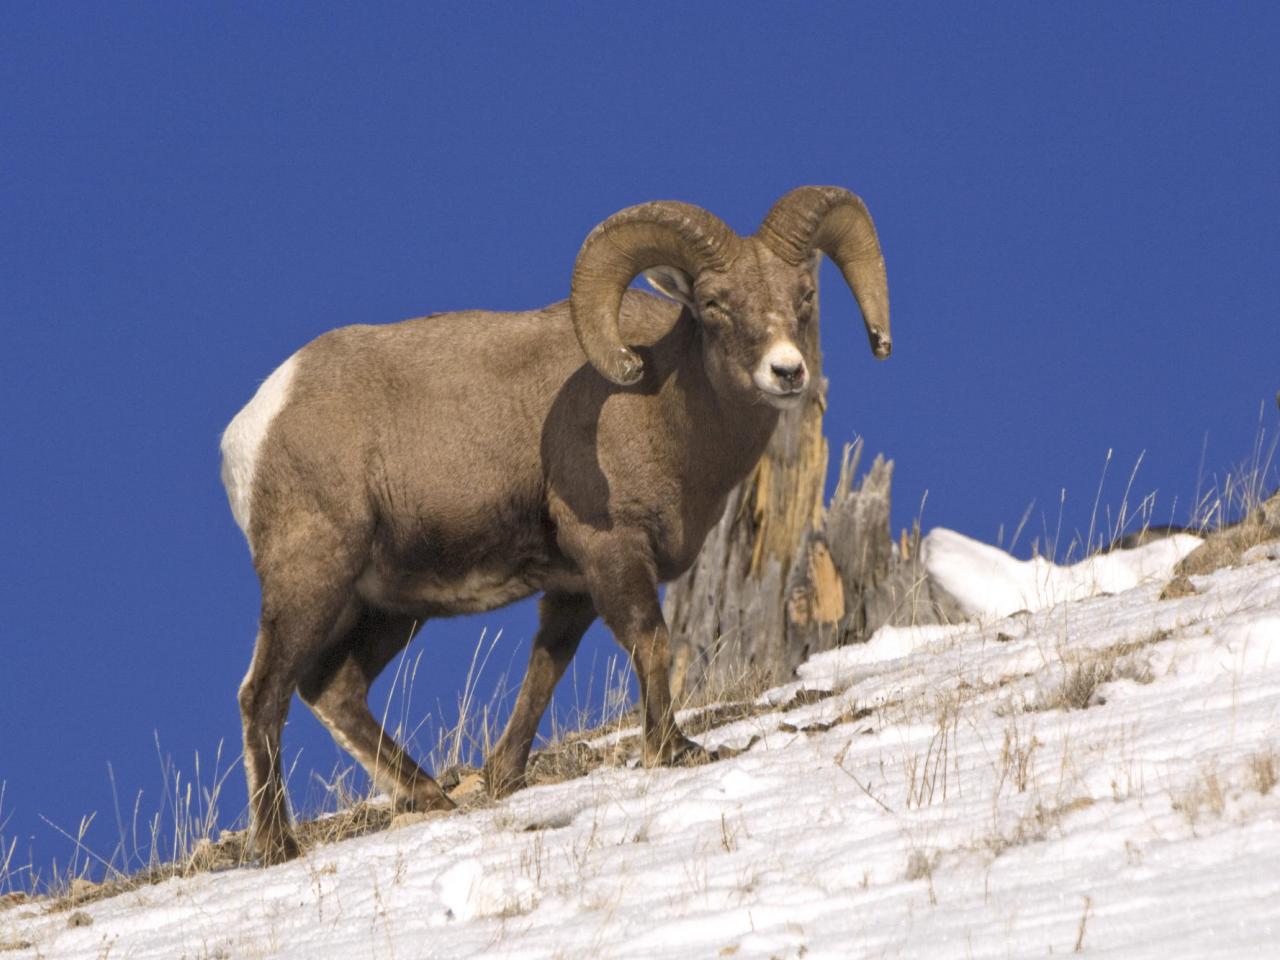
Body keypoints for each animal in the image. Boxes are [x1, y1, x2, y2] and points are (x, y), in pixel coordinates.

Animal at [222, 185, 890, 865]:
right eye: (713, 304)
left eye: (804, 296)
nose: (786, 372)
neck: (667, 412)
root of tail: (254, 425)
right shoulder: (613, 552)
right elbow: (651, 641)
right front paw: (672, 750)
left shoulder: (573, 589)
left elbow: (545, 670)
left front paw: (503, 779)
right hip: (312, 579)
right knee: (264, 694)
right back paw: (278, 846)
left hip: (389, 606)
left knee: (333, 689)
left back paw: (431, 798)